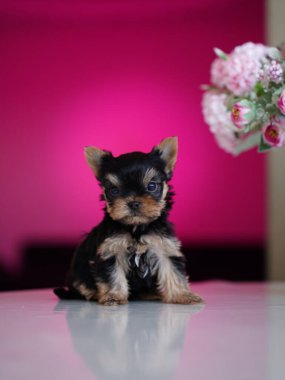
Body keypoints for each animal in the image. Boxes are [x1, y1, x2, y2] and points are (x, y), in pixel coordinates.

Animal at [54, 137, 202, 306]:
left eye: (152, 186)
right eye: (114, 190)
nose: (133, 203)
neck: (136, 227)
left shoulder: (164, 246)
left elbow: (173, 271)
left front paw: (183, 295)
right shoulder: (110, 250)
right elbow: (112, 276)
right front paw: (113, 296)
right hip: (79, 272)